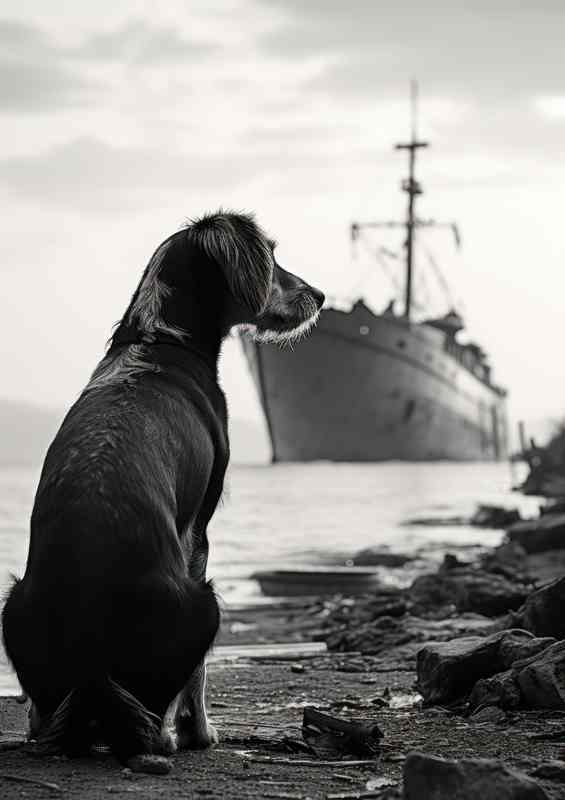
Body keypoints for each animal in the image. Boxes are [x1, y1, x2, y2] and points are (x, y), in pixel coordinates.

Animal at [2, 211, 324, 768]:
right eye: (272, 256)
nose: (320, 296)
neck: (160, 338)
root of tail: (92, 654)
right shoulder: (199, 529)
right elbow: (197, 678)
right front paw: (201, 731)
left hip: (12, 602)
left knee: (44, 707)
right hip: (207, 602)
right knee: (162, 701)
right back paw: (170, 736)